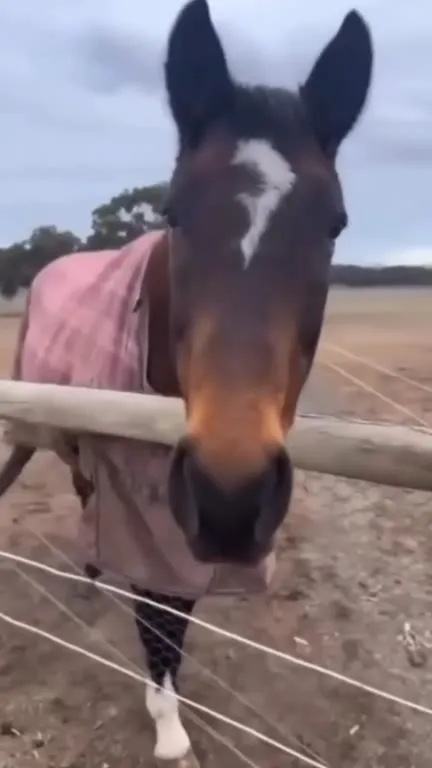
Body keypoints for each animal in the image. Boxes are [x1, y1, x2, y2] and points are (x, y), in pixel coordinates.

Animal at [0, 1, 374, 764]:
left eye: (335, 224)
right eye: (174, 212)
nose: (232, 493)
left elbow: (174, 616)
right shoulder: (151, 509)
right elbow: (157, 619)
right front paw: (169, 730)